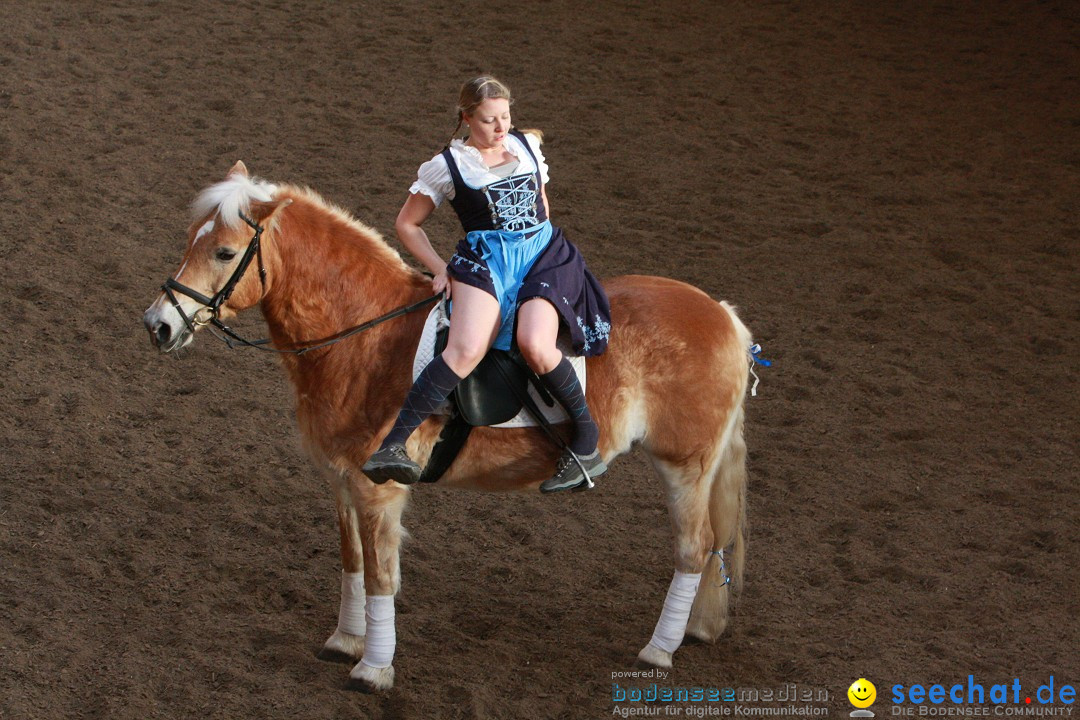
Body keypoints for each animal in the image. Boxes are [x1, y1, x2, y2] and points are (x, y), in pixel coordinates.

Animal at [141, 161, 751, 690]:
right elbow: (353, 562)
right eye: (190, 237)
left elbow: (382, 576)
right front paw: (345, 640)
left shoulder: (378, 488)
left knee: (695, 548)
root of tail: (724, 315)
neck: (362, 332)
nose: (158, 325)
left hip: (685, 465)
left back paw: (659, 650)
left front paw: (373, 669)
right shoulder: (341, 481)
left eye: (224, 251)